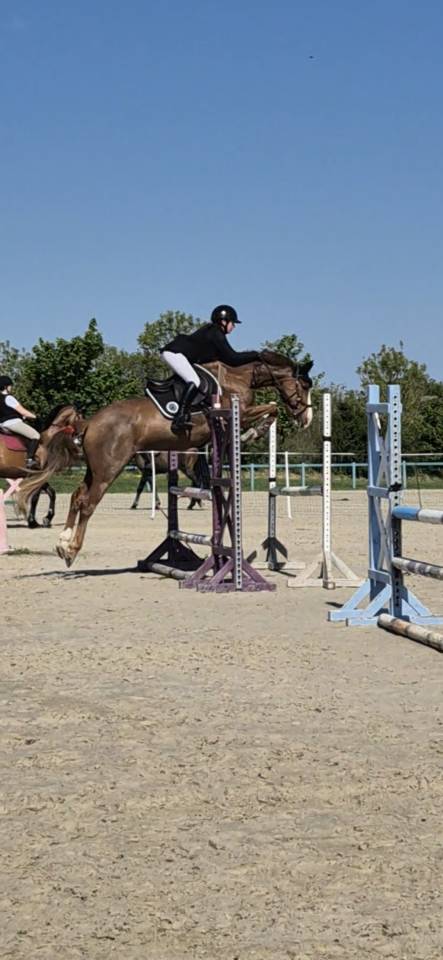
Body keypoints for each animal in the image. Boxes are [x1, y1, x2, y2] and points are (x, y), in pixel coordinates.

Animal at [17, 351, 313, 567]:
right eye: (304, 385)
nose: (307, 419)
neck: (238, 378)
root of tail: (89, 422)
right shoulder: (237, 410)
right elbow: (271, 409)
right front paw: (253, 432)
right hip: (109, 468)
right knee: (88, 503)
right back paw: (72, 550)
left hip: (96, 468)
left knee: (77, 496)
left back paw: (62, 542)